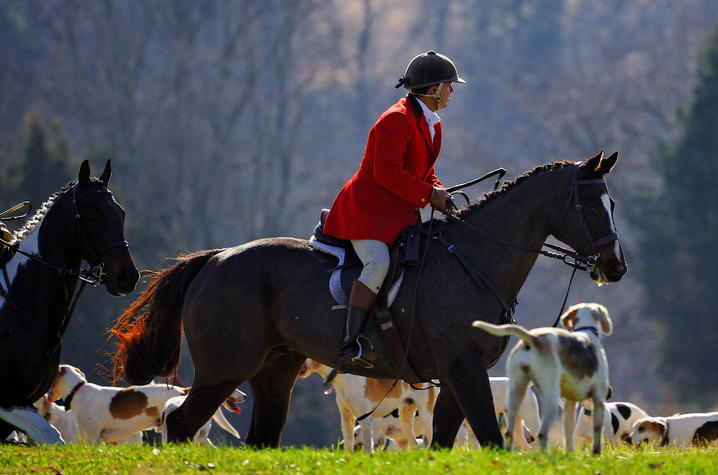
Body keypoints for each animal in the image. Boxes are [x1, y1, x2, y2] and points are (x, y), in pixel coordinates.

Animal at [298, 360, 438, 454]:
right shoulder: (346, 418)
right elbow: (349, 444)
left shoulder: (364, 419)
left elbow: (367, 446)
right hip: (405, 418)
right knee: (414, 444)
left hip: (426, 416)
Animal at [476, 304, 616, 456]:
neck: (586, 333)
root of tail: (531, 339)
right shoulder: (598, 401)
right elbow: (596, 436)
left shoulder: (570, 404)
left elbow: (569, 435)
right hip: (549, 401)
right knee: (541, 434)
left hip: (517, 400)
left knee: (512, 434)